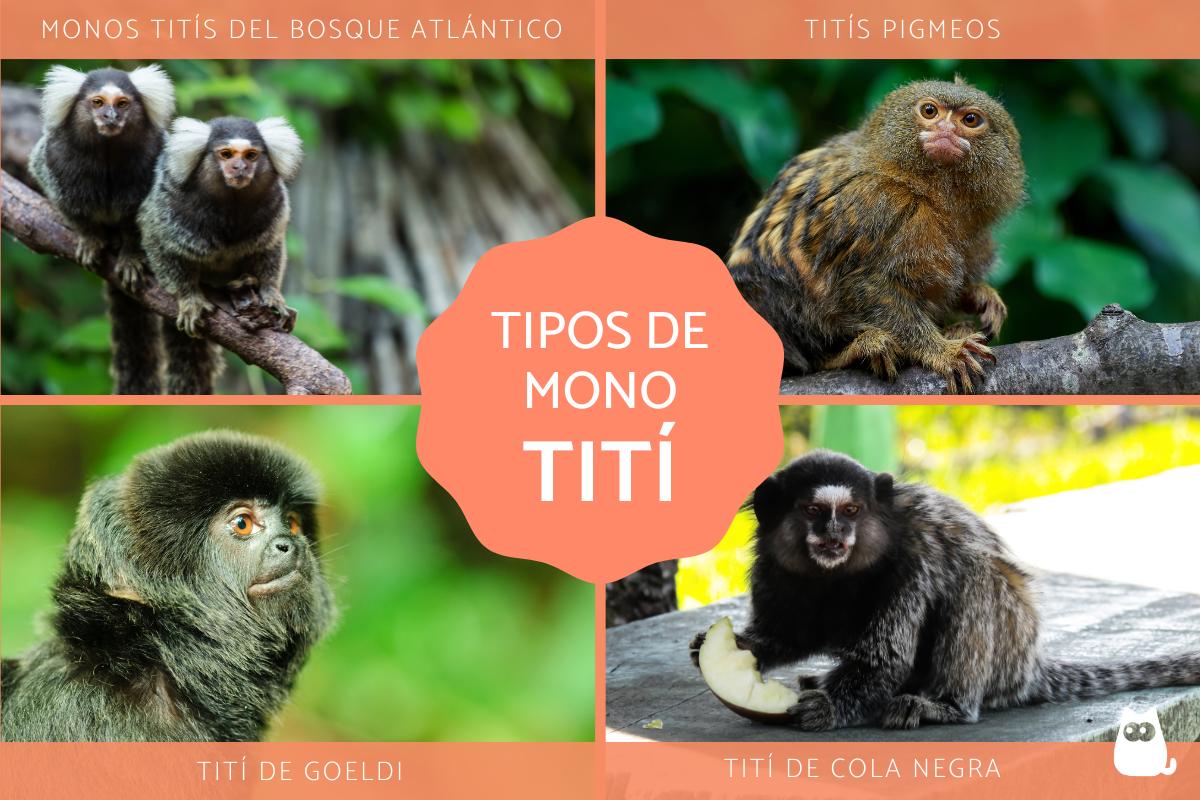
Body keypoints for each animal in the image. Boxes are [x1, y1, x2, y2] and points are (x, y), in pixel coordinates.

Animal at [28, 64, 176, 394]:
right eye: (97, 102)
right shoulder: (56, 158)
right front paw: (90, 238)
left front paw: (131, 256)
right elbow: (66, 199)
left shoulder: (152, 160)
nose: (110, 116)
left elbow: (140, 220)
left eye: (122, 103)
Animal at [137, 116, 303, 394]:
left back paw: (244, 282)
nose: (239, 167)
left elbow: (270, 248)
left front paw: (272, 295)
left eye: (251, 155)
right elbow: (158, 241)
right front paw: (189, 297)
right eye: (226, 154)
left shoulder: (275, 207)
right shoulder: (168, 205)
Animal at [689, 451, 1200, 730]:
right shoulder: (773, 570)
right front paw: (731, 646)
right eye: (814, 511)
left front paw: (828, 707)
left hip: (1008, 651)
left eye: (851, 511)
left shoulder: (909, 563)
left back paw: (945, 706)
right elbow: (787, 635)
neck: (833, 575)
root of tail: (1032, 663)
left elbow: (884, 657)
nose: (836, 534)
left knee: (974, 581)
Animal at [727, 78, 1025, 393]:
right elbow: (868, 287)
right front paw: (944, 351)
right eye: (929, 111)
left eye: (970, 120)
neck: (926, 191)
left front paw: (979, 295)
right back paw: (858, 350)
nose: (946, 130)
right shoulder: (879, 206)